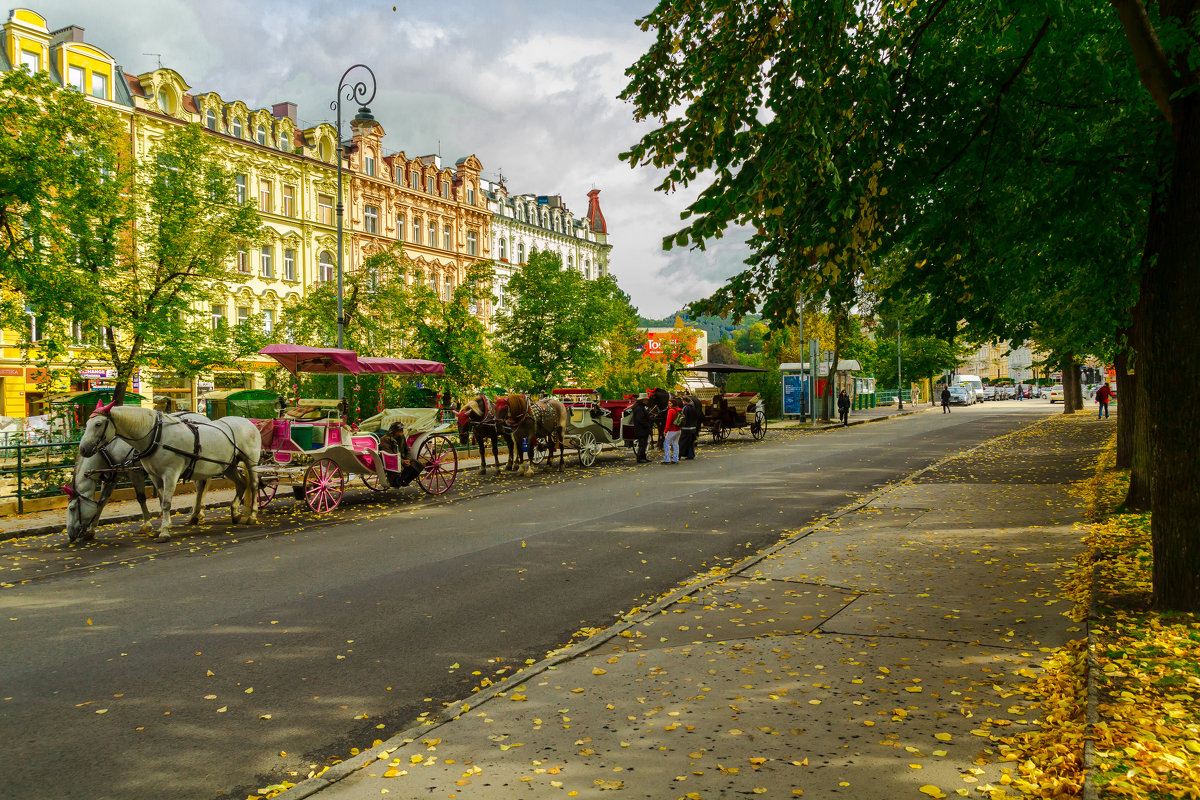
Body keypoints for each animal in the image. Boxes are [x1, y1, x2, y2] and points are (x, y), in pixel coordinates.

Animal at [78, 402, 262, 542]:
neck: (157, 436)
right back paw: (235, 512)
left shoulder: (170, 474)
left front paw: (165, 531)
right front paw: (161, 528)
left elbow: (166, 502)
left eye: (98, 424)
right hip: (228, 465)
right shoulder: (155, 476)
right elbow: (161, 502)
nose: (83, 449)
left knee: (253, 485)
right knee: (241, 483)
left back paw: (252, 516)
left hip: (251, 462)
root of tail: (248, 422)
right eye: (86, 424)